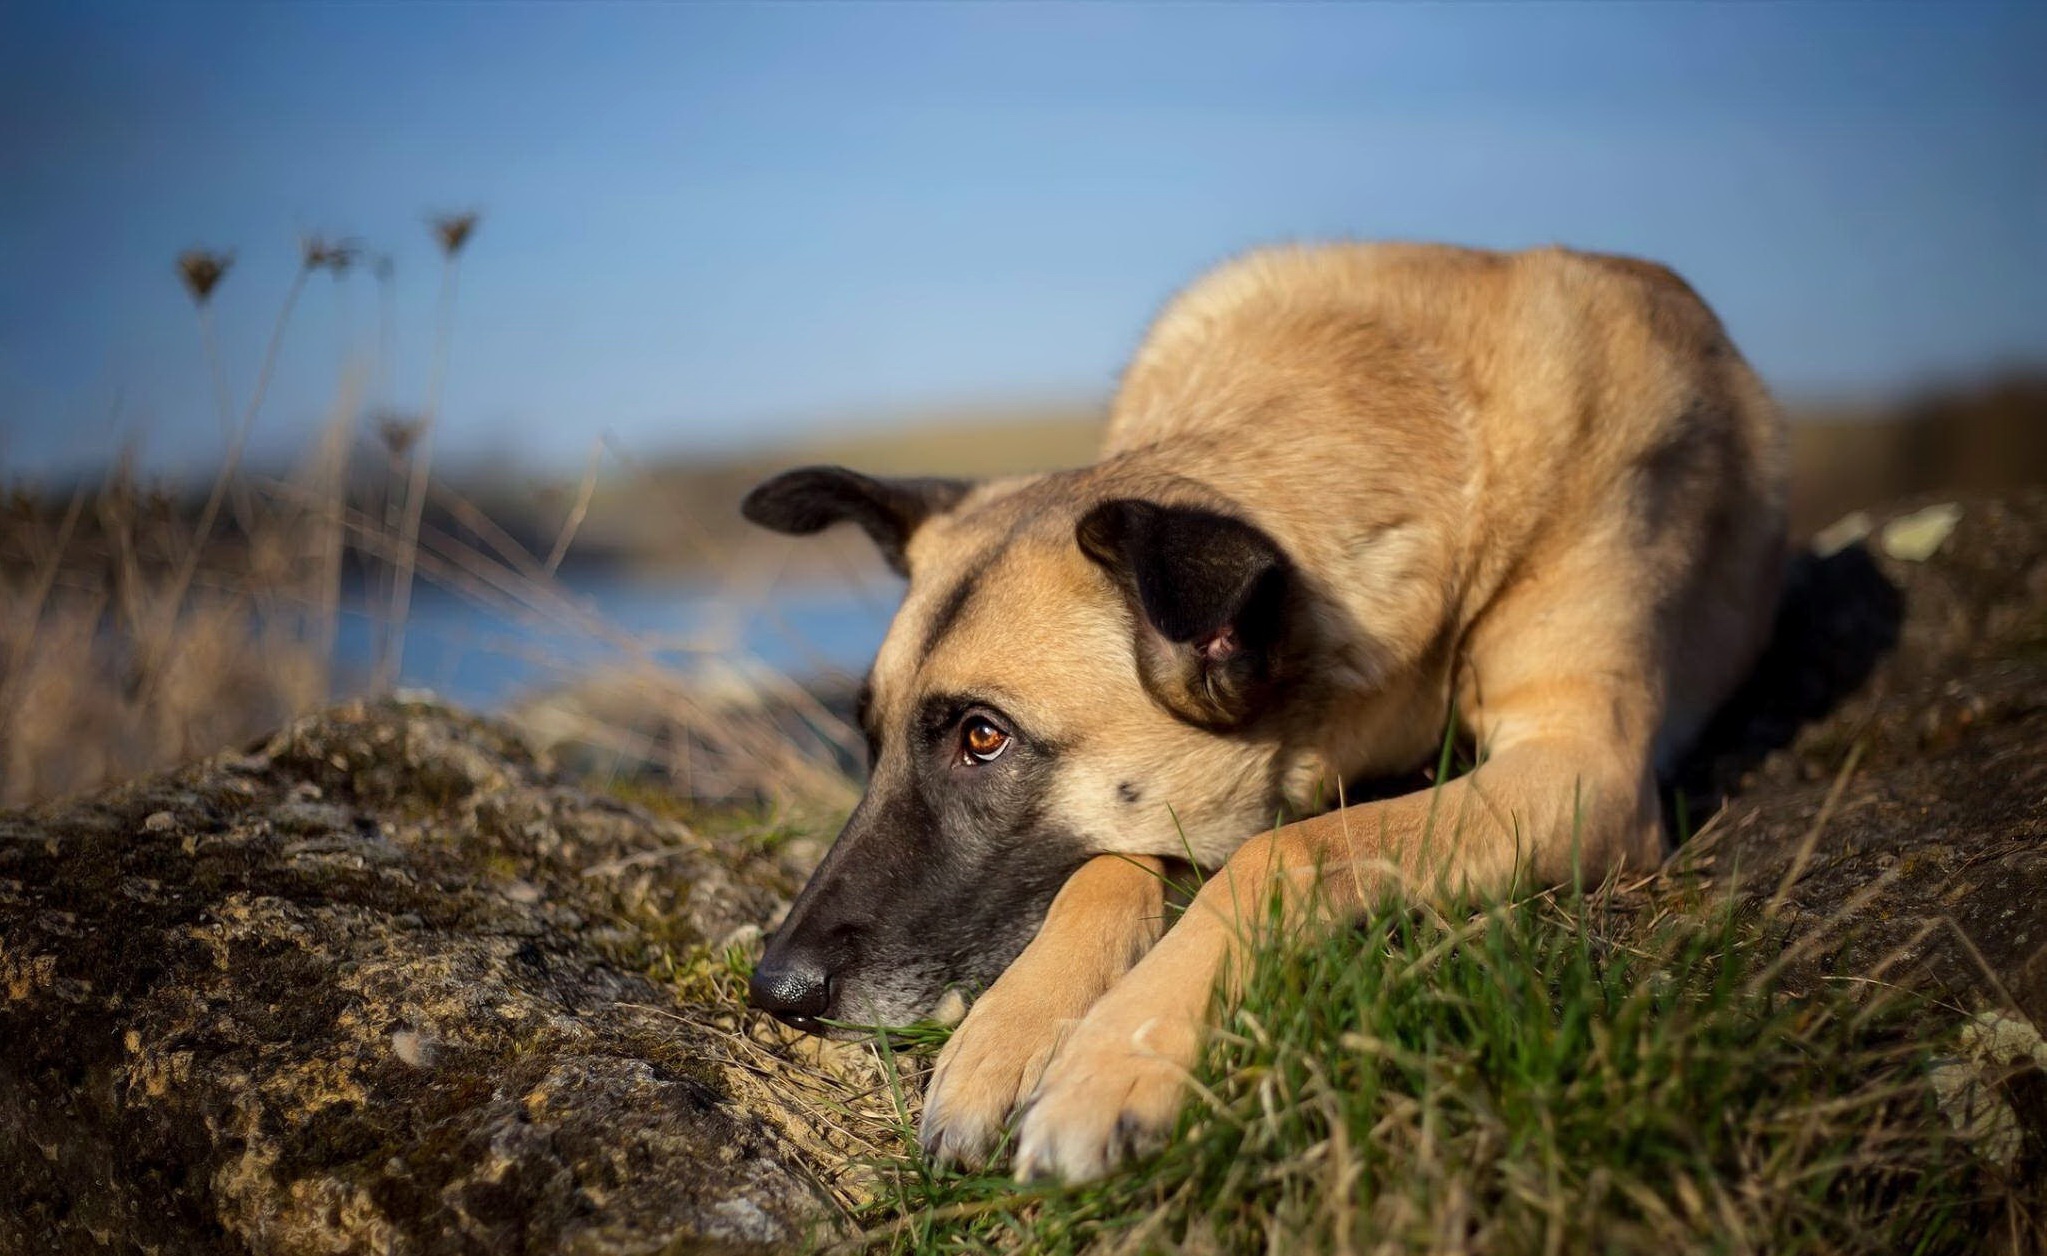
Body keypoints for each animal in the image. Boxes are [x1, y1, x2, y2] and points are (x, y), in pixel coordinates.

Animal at [745, 241, 1784, 1186]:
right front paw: (1015, 1032)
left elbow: (1285, 851)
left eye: (982, 737)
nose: (774, 992)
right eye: (869, 738)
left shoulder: (1581, 763)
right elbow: (1101, 869)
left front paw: (1116, 1060)